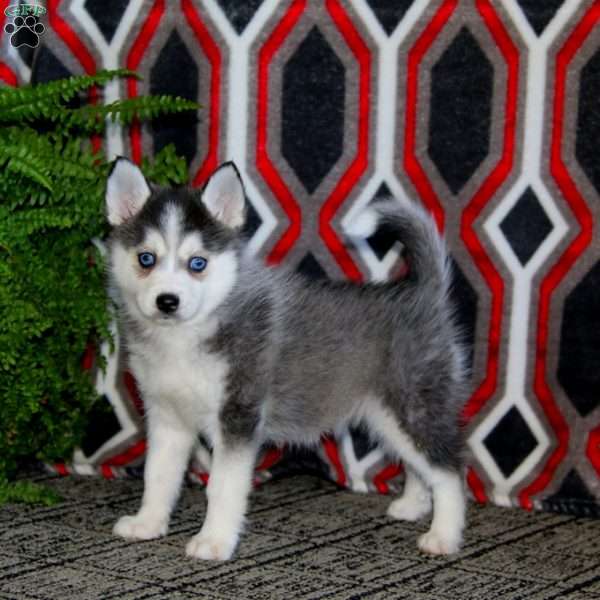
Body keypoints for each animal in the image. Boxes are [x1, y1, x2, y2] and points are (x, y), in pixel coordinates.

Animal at [105, 157, 466, 560]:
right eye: (146, 259)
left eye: (197, 263)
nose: (167, 301)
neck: (187, 335)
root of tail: (422, 292)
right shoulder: (167, 416)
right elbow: (158, 475)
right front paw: (147, 523)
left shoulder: (238, 416)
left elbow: (223, 485)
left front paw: (214, 540)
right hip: (385, 416)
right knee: (419, 465)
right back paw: (412, 506)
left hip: (412, 405)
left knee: (448, 471)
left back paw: (444, 535)